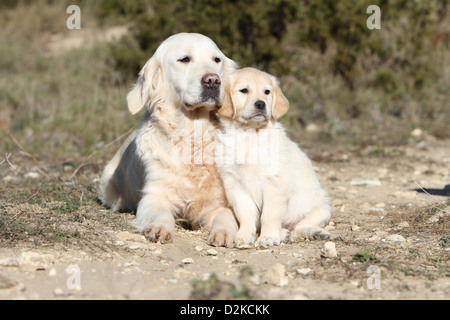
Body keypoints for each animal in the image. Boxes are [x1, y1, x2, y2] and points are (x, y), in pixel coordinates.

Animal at [98, 33, 239, 248]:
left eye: (217, 60)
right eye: (184, 59)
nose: (213, 80)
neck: (194, 134)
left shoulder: (222, 200)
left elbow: (226, 215)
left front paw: (224, 232)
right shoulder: (154, 196)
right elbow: (160, 212)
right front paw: (159, 228)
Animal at [215, 68, 330, 248]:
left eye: (267, 92)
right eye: (244, 90)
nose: (261, 104)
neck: (249, 134)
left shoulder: (275, 182)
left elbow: (270, 214)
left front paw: (268, 237)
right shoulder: (234, 183)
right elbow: (245, 213)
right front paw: (244, 235)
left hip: (322, 205)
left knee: (300, 227)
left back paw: (314, 233)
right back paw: (283, 233)